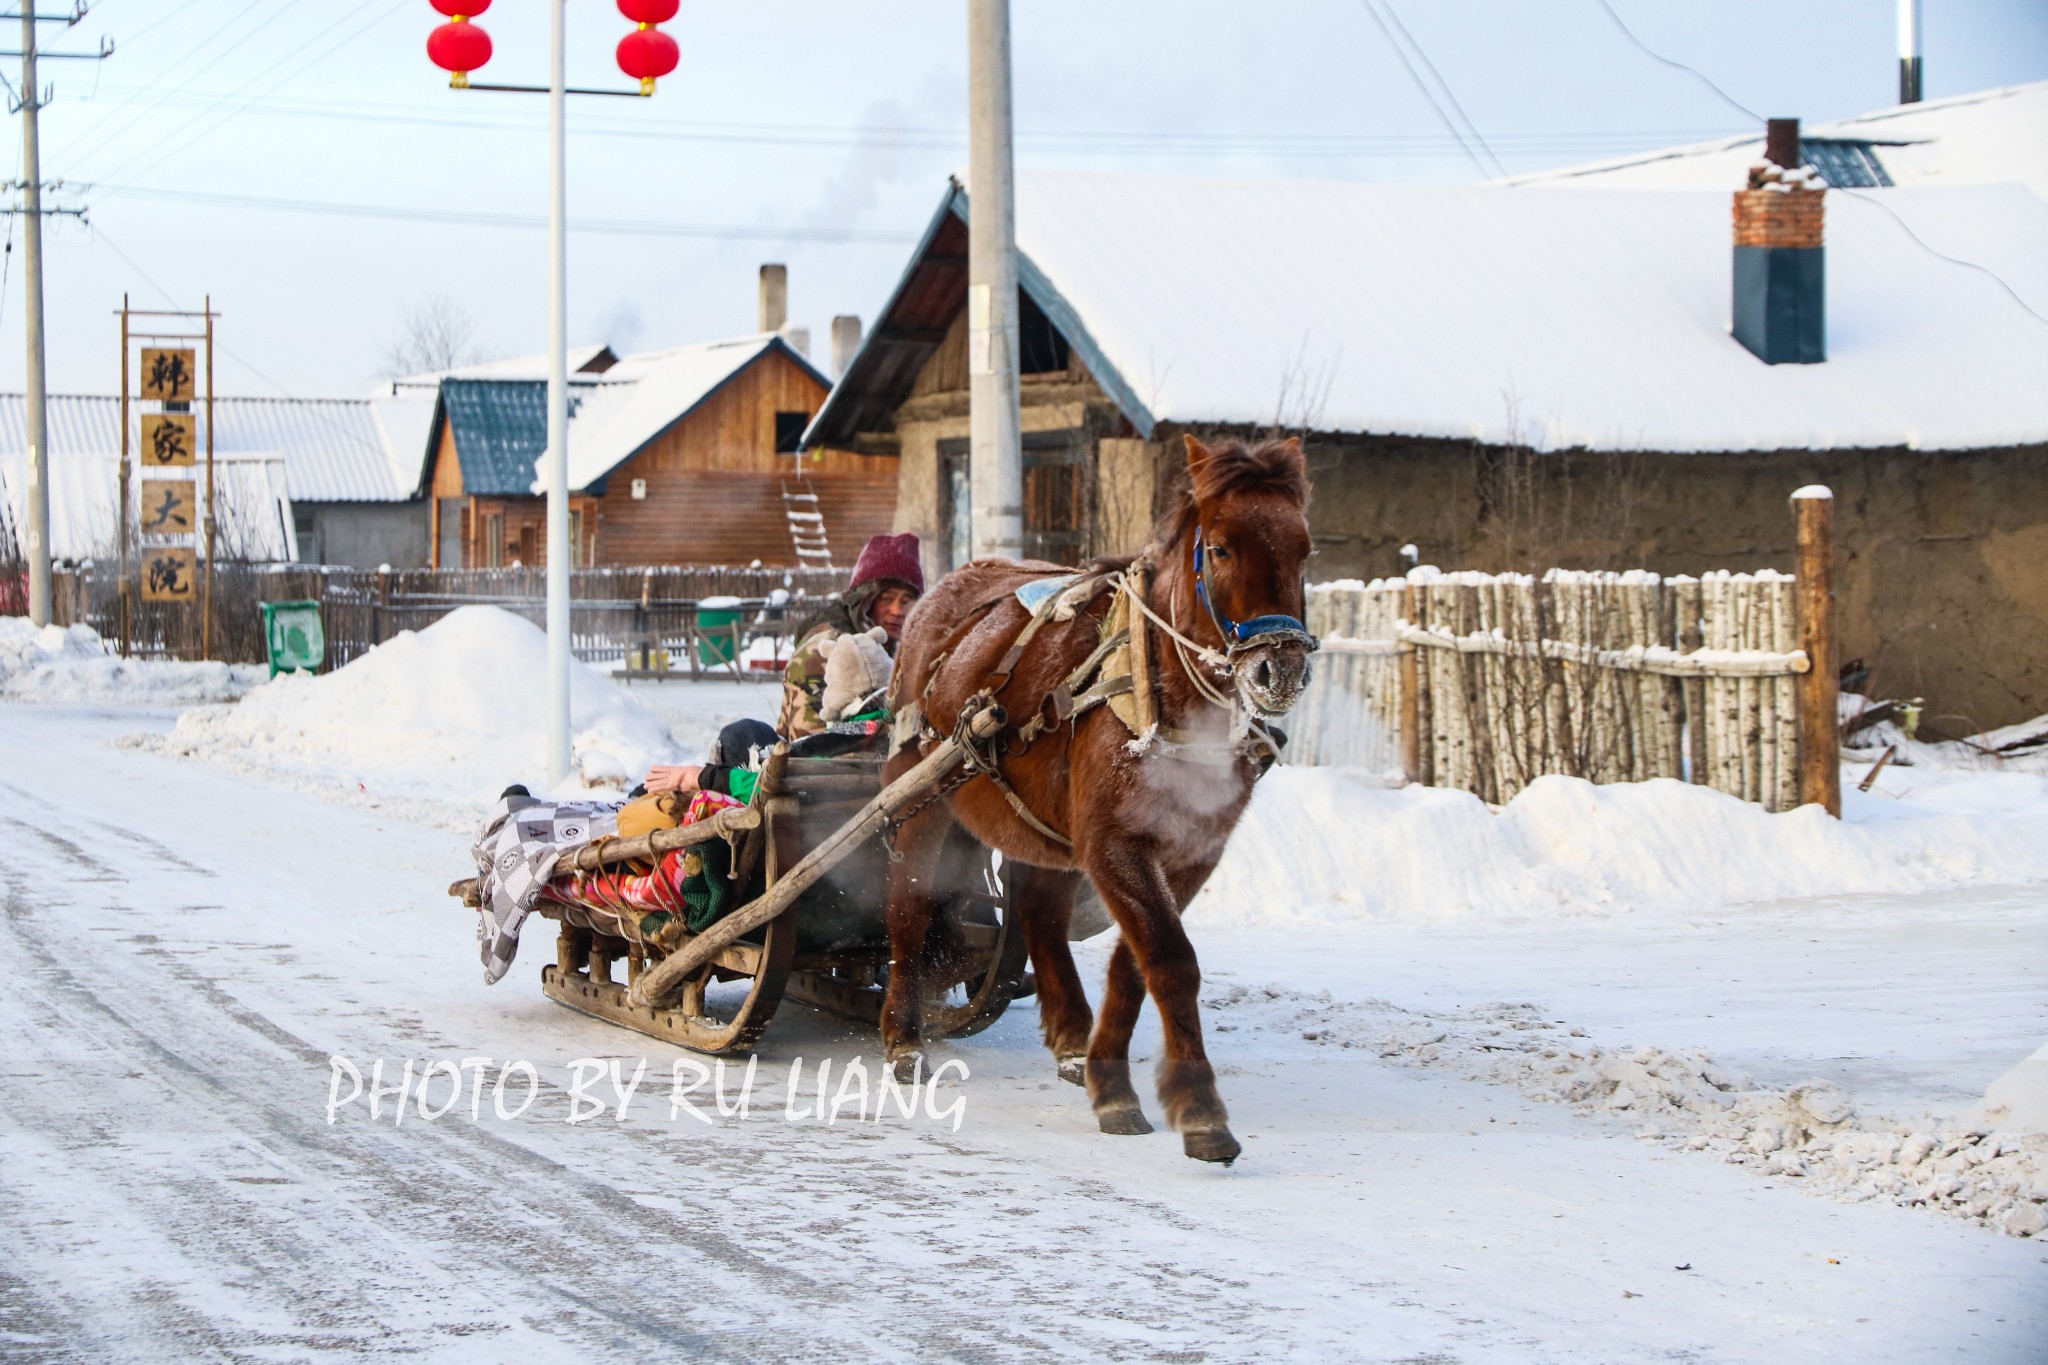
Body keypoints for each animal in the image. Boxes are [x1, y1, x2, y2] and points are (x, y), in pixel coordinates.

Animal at [880, 435, 1310, 1162]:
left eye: (1305, 548)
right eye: (1222, 548)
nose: (1279, 668)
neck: (1154, 696)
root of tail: (941, 596)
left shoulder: (1191, 853)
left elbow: (1136, 964)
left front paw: (1107, 1077)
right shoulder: (1112, 841)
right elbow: (1171, 959)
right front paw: (1199, 1109)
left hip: (1043, 827)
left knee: (1038, 911)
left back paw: (1072, 1038)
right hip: (923, 798)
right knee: (909, 904)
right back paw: (904, 1038)